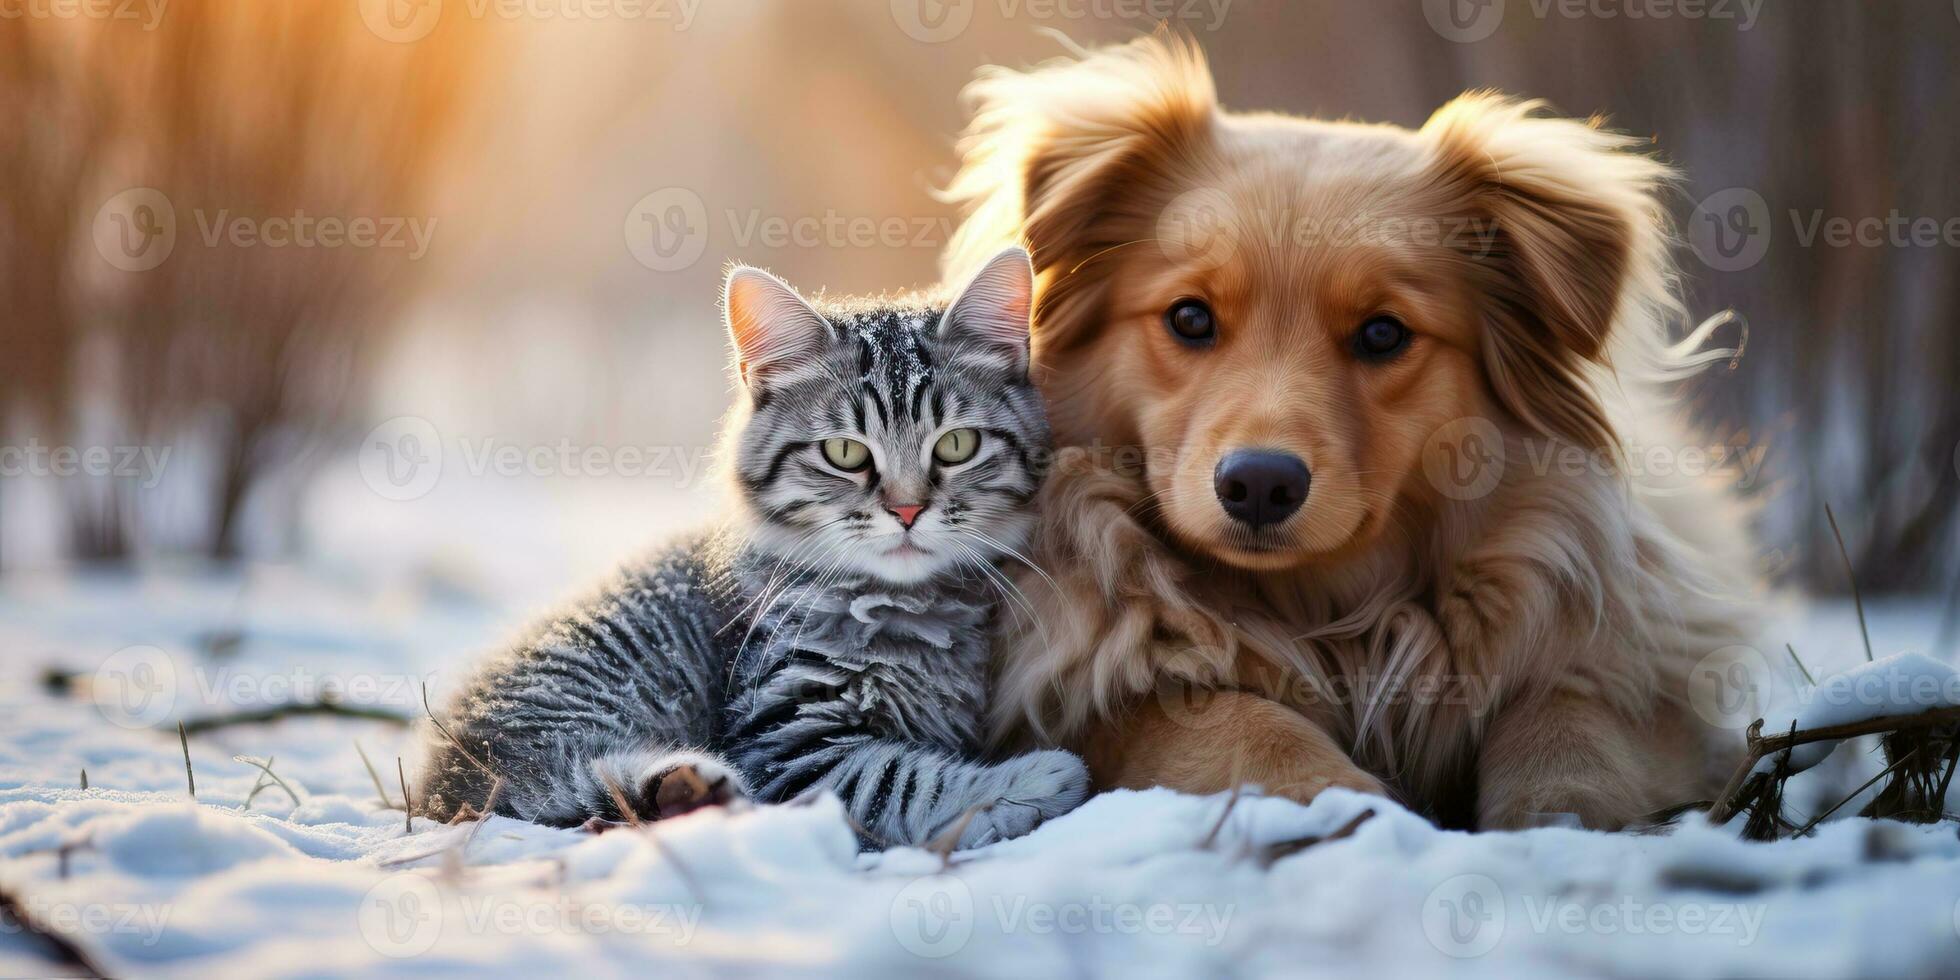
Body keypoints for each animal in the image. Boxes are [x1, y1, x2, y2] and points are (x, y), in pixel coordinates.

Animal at [415, 246, 1097, 850]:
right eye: (845, 453)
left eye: (956, 445)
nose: (906, 511)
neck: (898, 611)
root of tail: (440, 778)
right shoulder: (786, 744)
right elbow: (898, 781)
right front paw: (1038, 777)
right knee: (556, 791)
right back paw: (690, 787)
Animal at [944, 34, 1764, 831]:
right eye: (1190, 317)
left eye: (1382, 333)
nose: (1260, 484)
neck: (1326, 612)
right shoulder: (1097, 697)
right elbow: (1230, 722)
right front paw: (1343, 803)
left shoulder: (1637, 664)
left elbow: (1573, 717)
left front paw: (1562, 819)